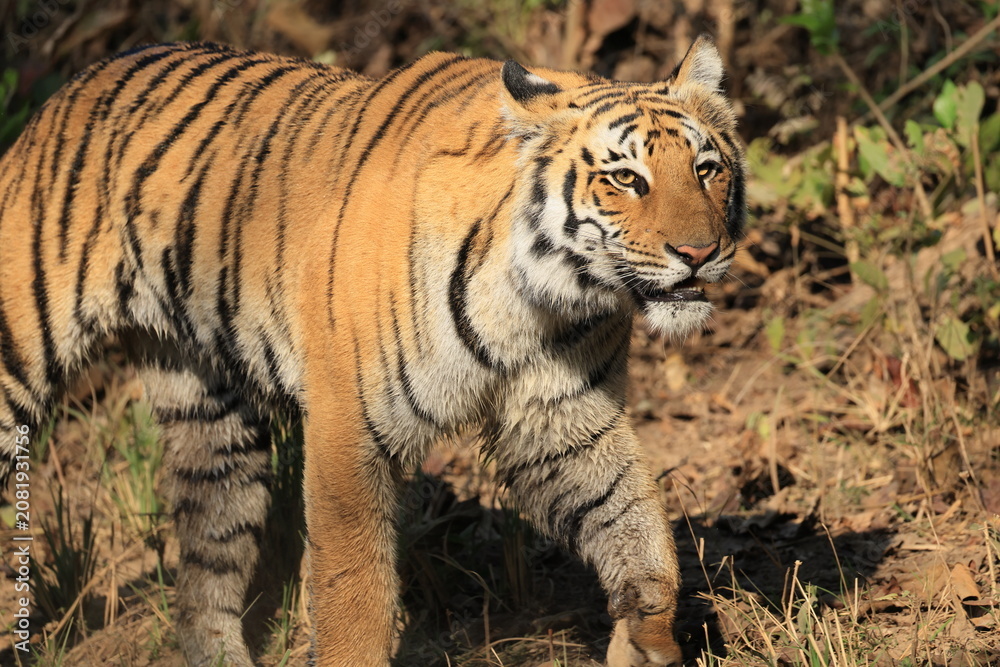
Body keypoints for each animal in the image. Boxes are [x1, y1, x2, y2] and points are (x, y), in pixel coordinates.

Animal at [0, 35, 745, 666]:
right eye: (625, 179)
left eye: (706, 169)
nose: (699, 252)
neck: (539, 298)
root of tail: (72, 86)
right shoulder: (346, 423)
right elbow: (351, 586)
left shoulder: (564, 418)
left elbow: (637, 526)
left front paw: (646, 638)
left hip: (211, 418)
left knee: (207, 563)